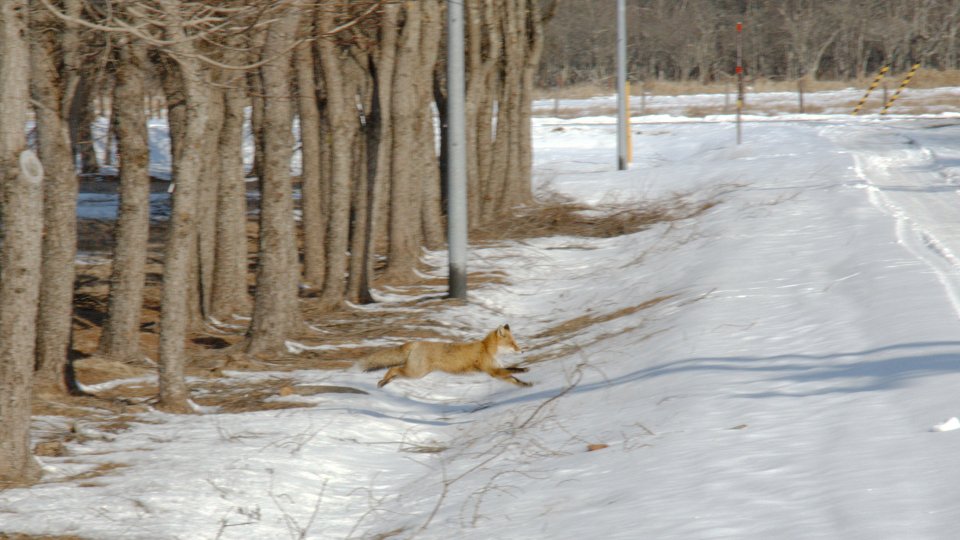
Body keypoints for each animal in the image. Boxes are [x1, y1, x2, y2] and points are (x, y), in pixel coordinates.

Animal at [360, 324, 528, 388]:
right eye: (513, 344)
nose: (522, 351)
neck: (487, 349)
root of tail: (416, 342)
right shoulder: (492, 371)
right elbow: (513, 371)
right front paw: (525, 370)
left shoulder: (497, 371)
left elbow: (513, 377)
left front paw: (526, 385)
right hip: (415, 373)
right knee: (393, 369)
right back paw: (383, 381)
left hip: (413, 373)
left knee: (395, 373)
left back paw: (384, 382)